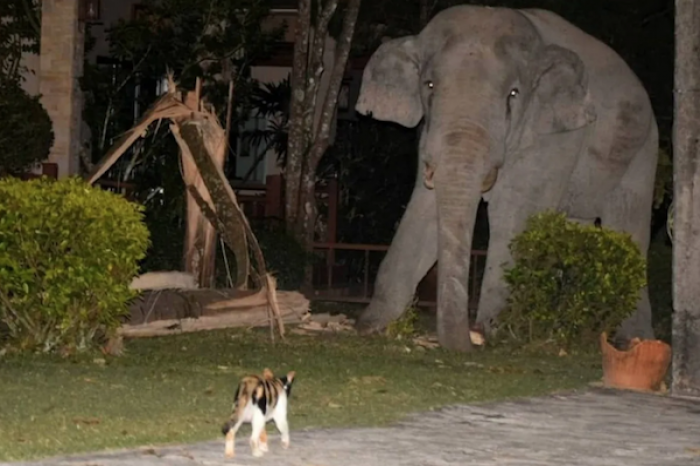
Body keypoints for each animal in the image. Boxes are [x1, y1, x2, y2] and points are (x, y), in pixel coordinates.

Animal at [352, 5, 660, 352]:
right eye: (428, 86)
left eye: (513, 94)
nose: (469, 341)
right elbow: (424, 208)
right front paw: (372, 325)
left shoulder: (555, 137)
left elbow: (512, 214)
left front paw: (496, 333)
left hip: (644, 149)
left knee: (628, 224)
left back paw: (631, 339)